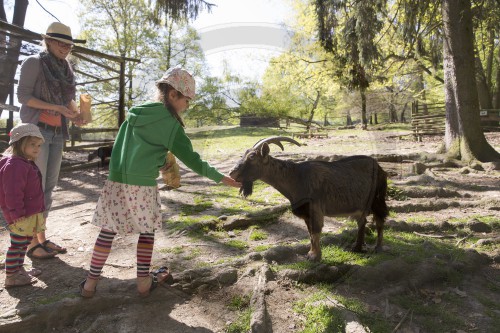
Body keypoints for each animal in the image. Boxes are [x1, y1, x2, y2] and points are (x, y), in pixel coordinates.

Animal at [229, 136, 388, 260]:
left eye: (252, 157)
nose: (232, 173)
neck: (296, 178)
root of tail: (380, 168)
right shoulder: (305, 213)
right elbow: (310, 233)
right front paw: (311, 253)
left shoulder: (315, 209)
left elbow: (316, 231)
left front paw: (315, 256)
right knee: (362, 221)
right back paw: (357, 247)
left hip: (377, 199)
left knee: (380, 220)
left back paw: (378, 248)